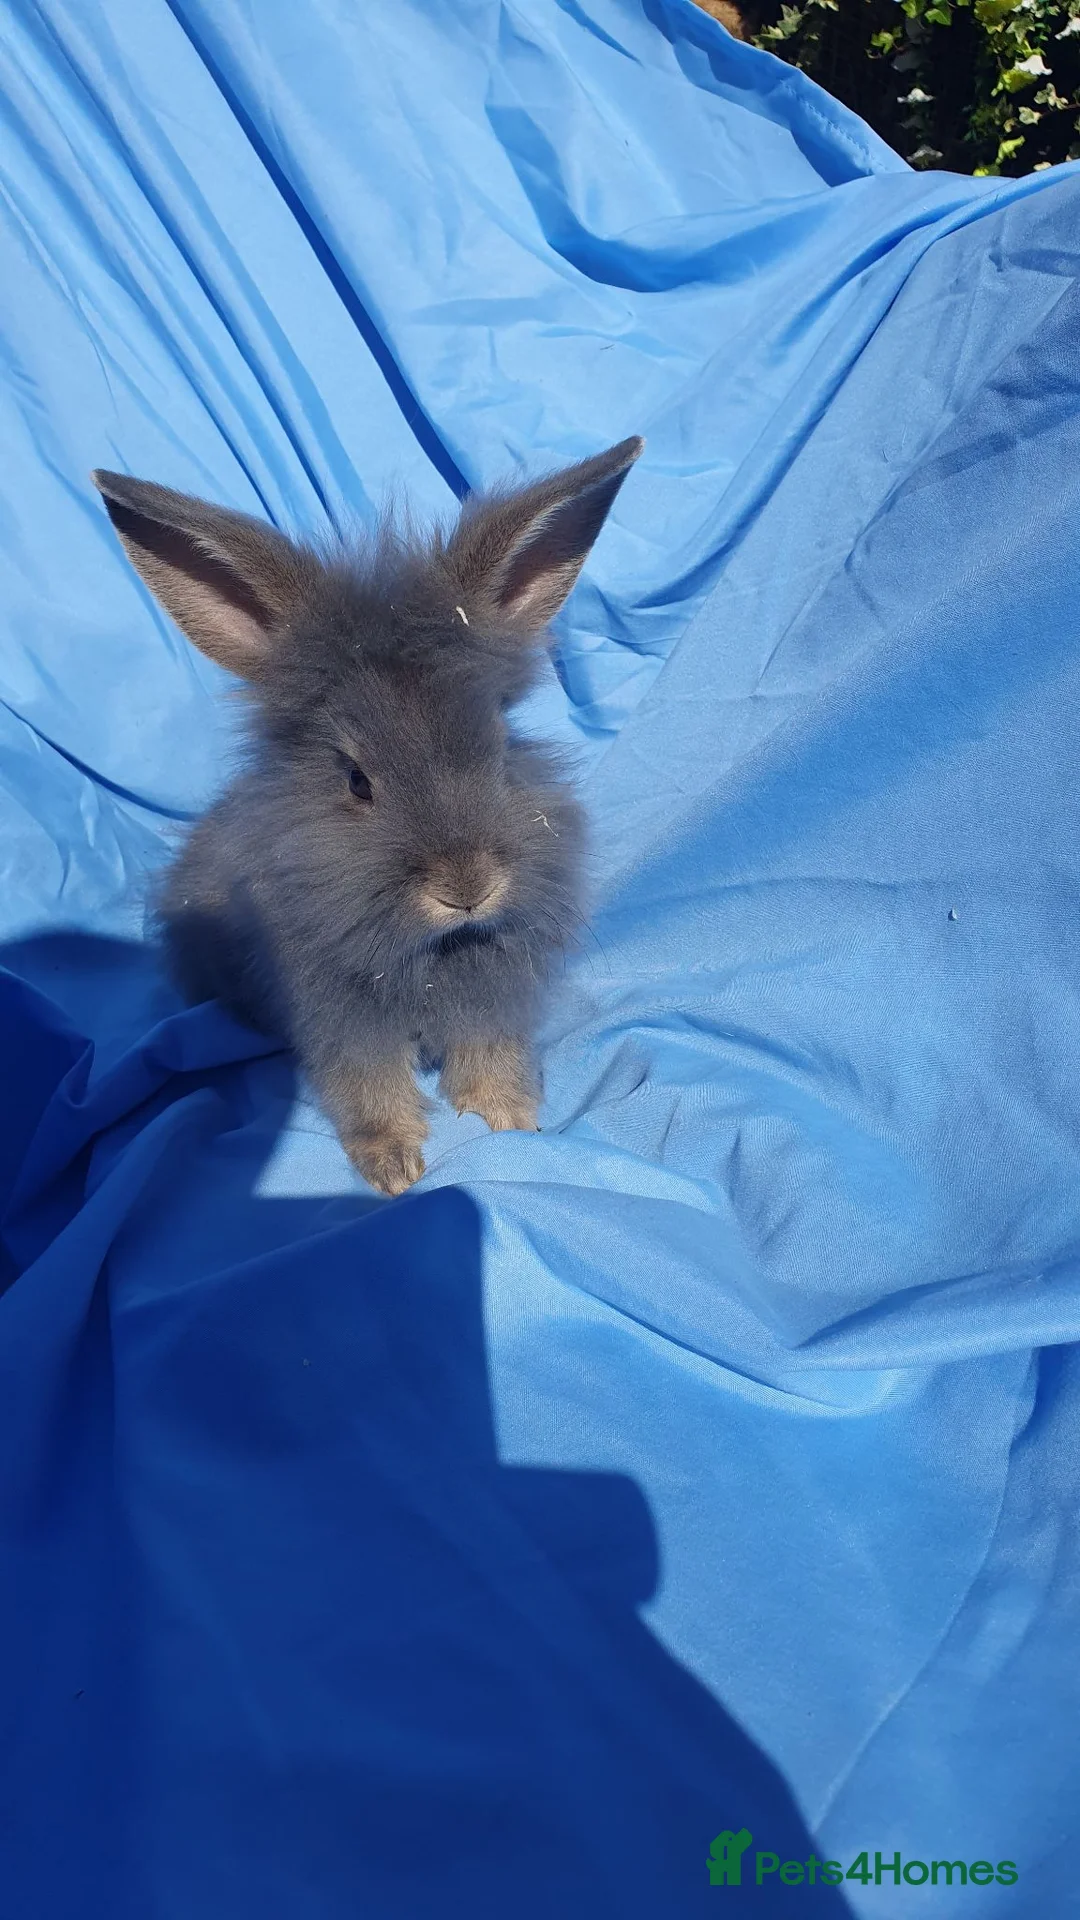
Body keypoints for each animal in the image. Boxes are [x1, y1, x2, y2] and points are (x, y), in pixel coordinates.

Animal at [92, 436, 643, 1195]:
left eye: (500, 746)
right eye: (356, 782)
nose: (468, 887)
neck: (430, 950)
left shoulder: (489, 996)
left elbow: (491, 1055)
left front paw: (512, 1119)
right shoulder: (342, 1017)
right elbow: (369, 1086)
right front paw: (395, 1169)